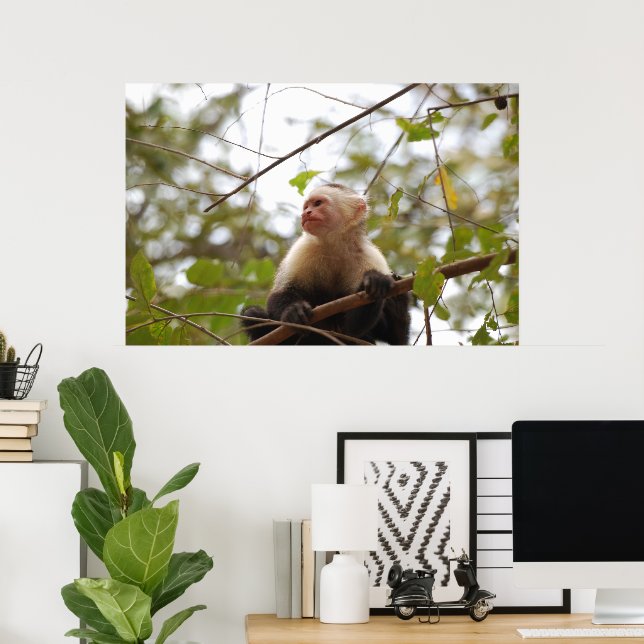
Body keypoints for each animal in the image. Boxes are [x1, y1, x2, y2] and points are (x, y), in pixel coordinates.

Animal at [242, 183, 410, 345]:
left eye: (318, 203)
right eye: (306, 207)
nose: (305, 213)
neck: (334, 245)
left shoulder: (371, 257)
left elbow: (353, 329)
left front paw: (376, 282)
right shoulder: (302, 249)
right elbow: (281, 292)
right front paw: (293, 310)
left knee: (394, 336)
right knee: (252, 314)